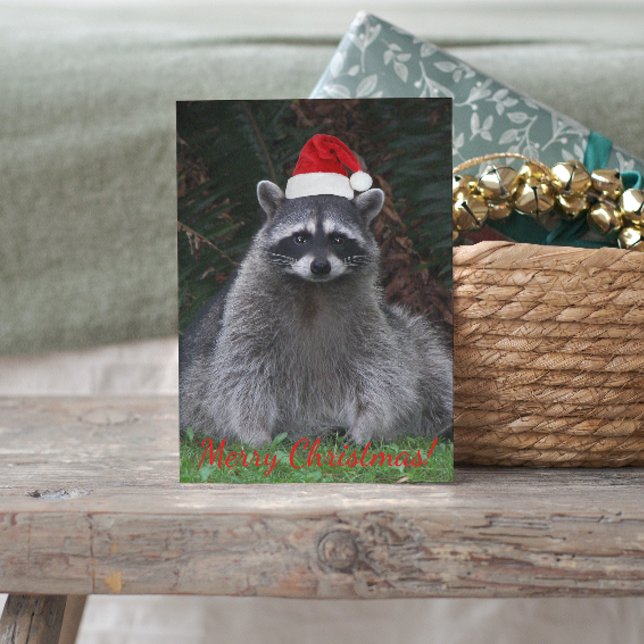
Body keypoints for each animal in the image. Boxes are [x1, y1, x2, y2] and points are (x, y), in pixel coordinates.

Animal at [179, 181, 453, 447]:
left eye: (338, 239)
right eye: (300, 238)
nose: (320, 266)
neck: (314, 288)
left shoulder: (367, 313)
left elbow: (378, 370)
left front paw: (366, 423)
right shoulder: (247, 310)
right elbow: (242, 373)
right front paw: (254, 430)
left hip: (410, 337)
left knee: (432, 364)